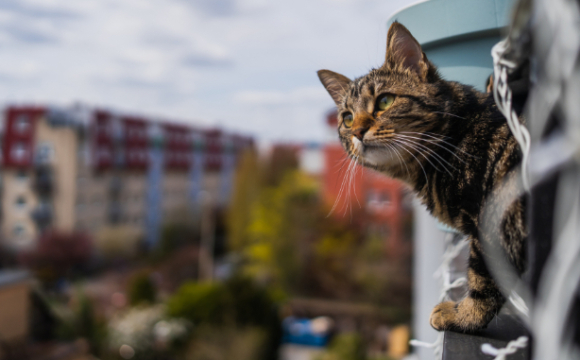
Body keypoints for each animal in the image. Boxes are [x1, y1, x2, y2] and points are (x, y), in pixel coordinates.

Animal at [318, 21, 524, 332]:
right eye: (347, 118)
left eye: (385, 101)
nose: (357, 132)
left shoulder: (493, 221)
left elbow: (484, 279)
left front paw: (464, 316)